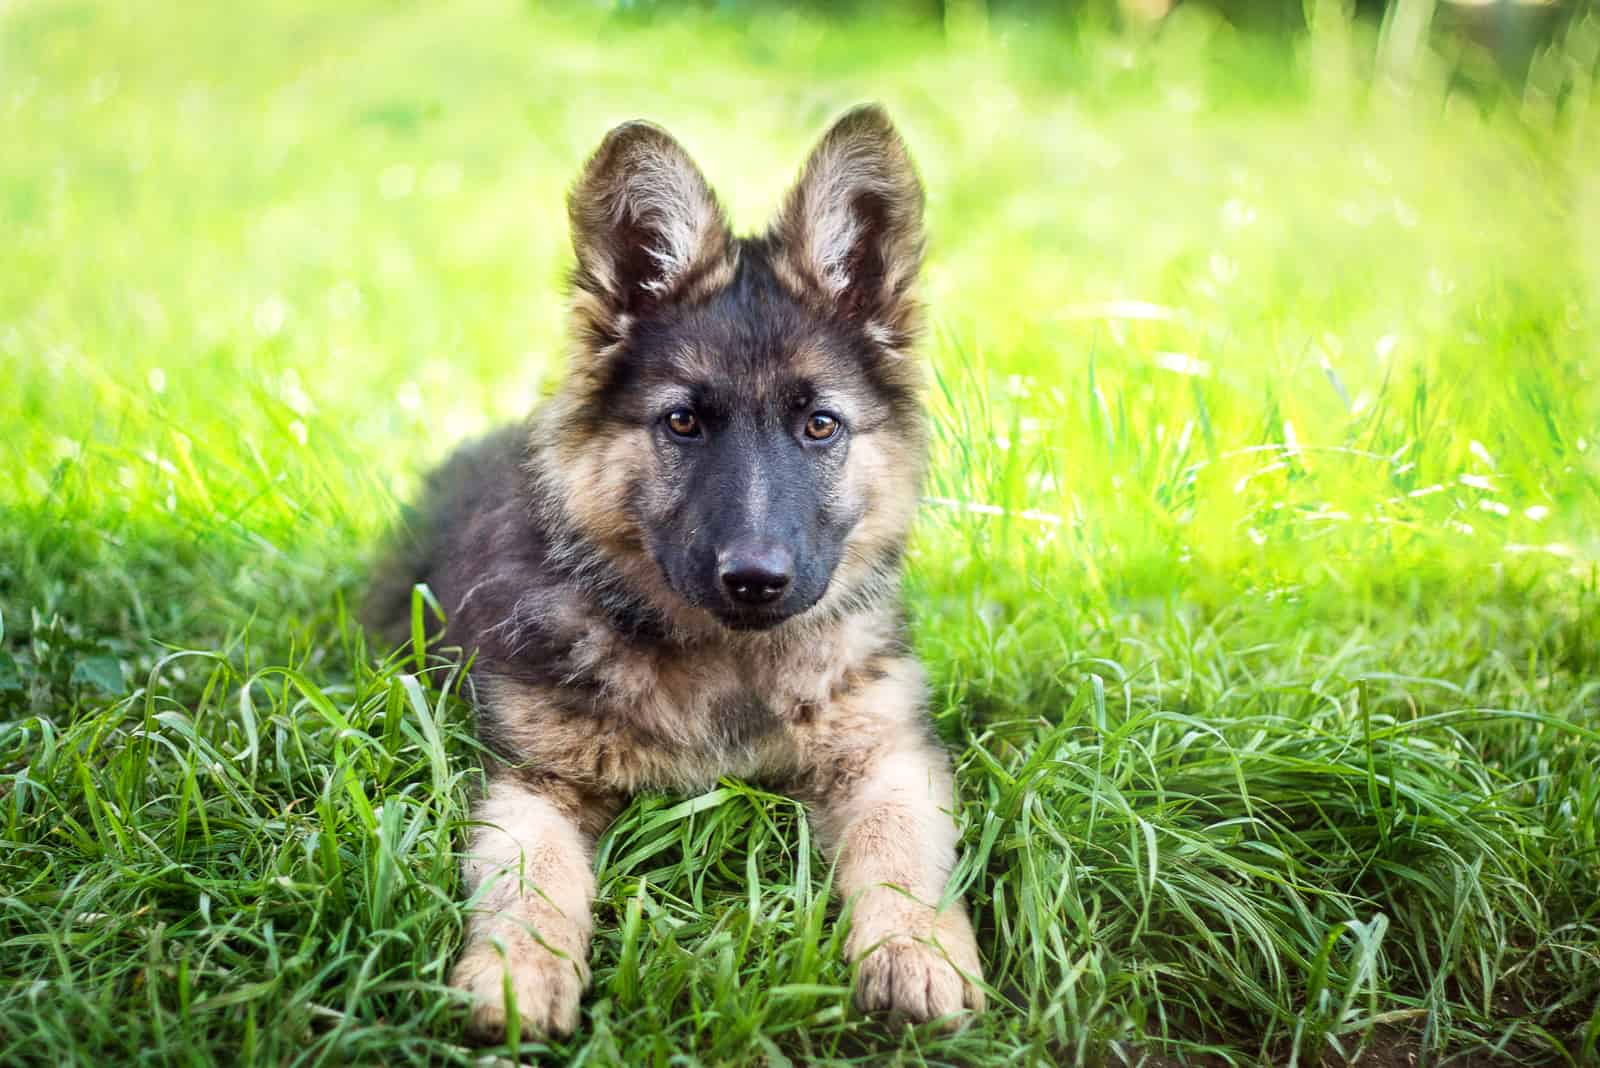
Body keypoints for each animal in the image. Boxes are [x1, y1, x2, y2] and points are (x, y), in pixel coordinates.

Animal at [366, 106, 979, 1036]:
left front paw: (917, 950)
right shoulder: (530, 780)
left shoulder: (887, 753)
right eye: (684, 422)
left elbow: (901, 851)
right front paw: (519, 972)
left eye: (821, 425)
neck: (728, 663)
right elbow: (534, 878)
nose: (755, 579)